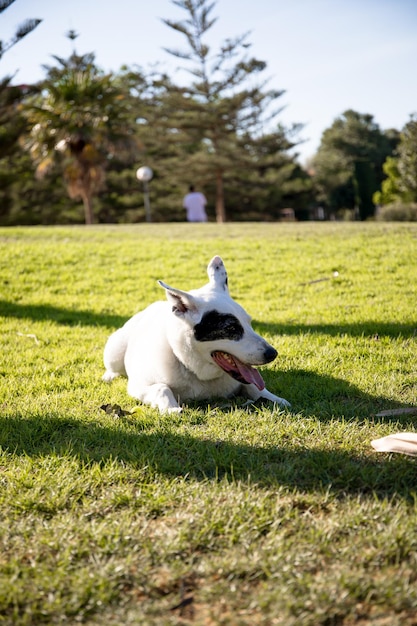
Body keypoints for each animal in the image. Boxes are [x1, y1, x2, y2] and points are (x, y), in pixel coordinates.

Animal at [102, 256, 290, 412]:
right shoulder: (138, 386)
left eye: (249, 323)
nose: (273, 354)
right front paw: (171, 408)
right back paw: (109, 376)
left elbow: (255, 387)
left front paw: (276, 399)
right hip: (114, 351)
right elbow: (162, 388)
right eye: (231, 329)